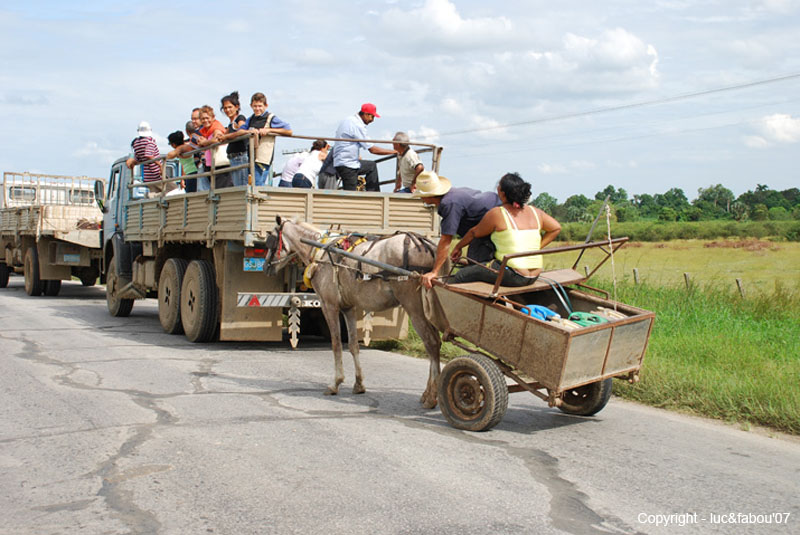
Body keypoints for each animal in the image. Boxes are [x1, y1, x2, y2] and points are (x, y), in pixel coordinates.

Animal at [274, 216, 446, 408]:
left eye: (271, 238)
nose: (268, 265)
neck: (321, 250)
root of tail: (428, 246)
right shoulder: (348, 308)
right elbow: (353, 345)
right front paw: (359, 384)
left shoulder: (329, 305)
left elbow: (336, 344)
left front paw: (336, 383)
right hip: (429, 310)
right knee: (433, 344)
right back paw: (428, 393)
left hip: (414, 308)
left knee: (431, 343)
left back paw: (432, 397)